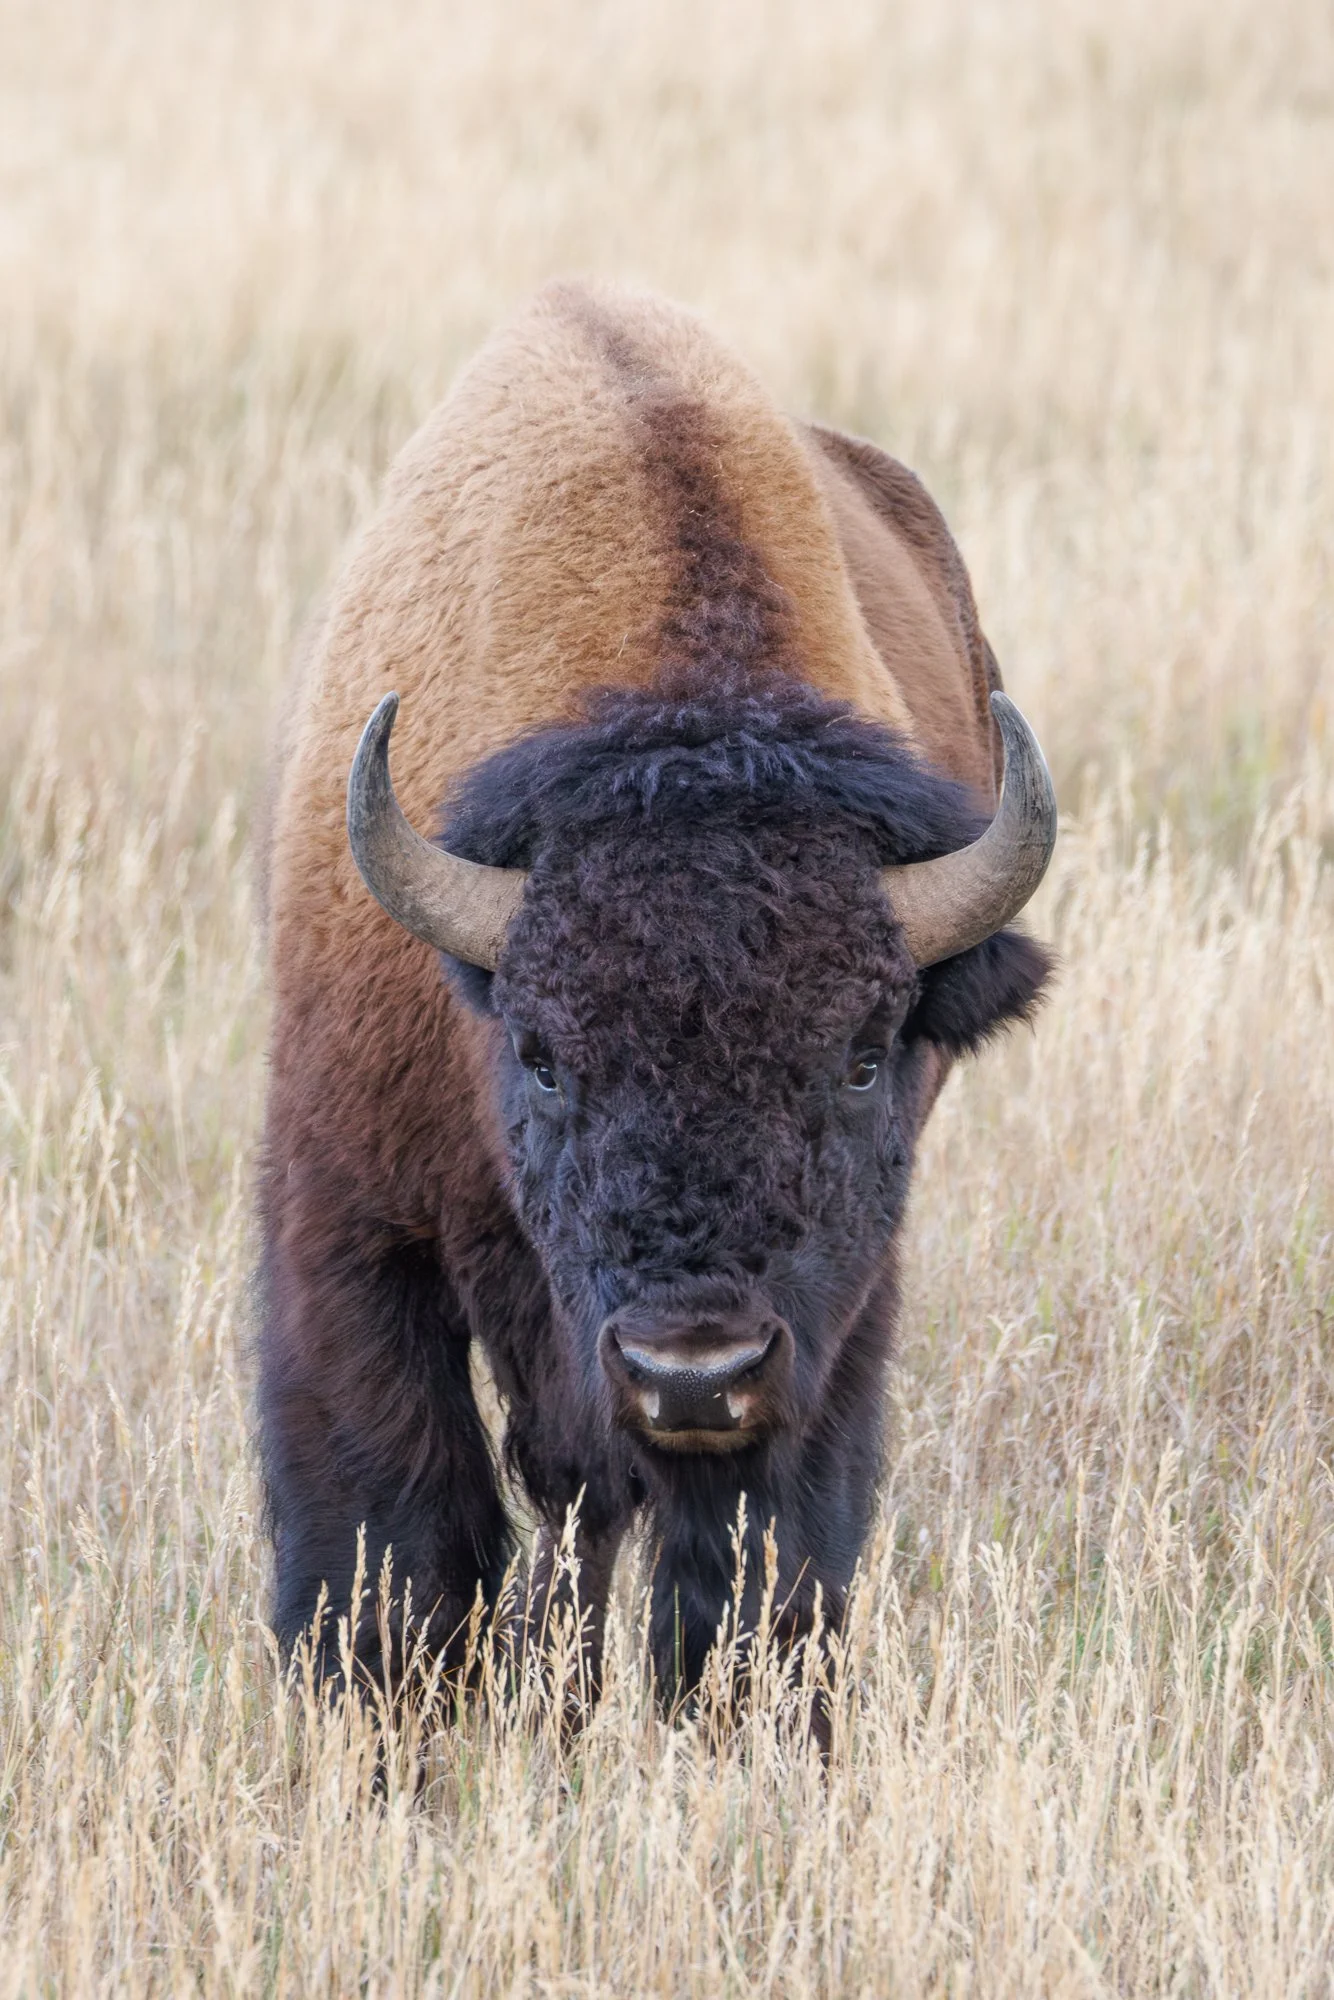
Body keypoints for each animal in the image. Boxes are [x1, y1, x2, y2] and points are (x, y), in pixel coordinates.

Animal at [259, 281, 1054, 1717]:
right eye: (542, 1053)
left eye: (862, 1056)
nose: (693, 1369)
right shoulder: (348, 1217)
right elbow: (394, 1538)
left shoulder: (835, 1318)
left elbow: (757, 1560)